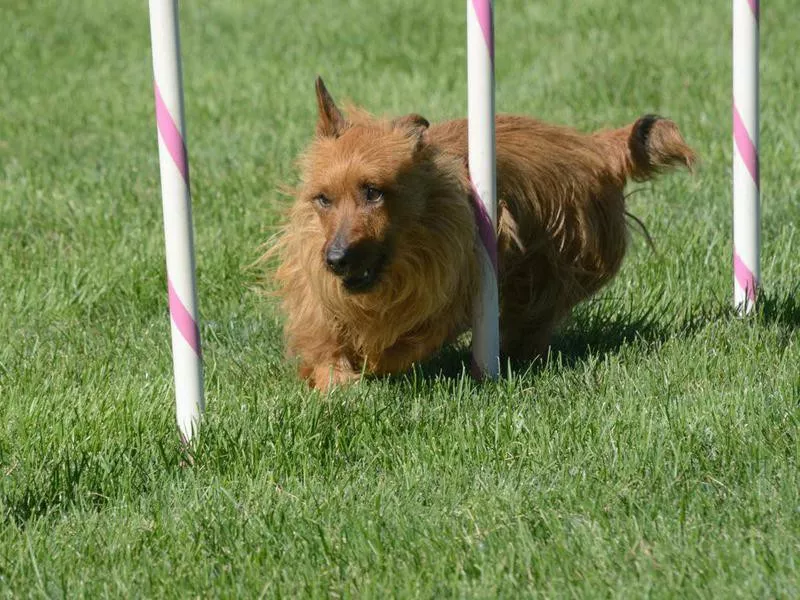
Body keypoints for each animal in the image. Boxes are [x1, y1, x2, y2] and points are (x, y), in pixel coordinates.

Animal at [268, 78, 692, 390]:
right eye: (323, 199)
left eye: (373, 191)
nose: (335, 260)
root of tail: (593, 145)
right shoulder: (316, 282)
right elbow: (324, 338)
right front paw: (335, 377)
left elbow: (409, 340)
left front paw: (371, 365)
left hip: (556, 267)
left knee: (536, 314)